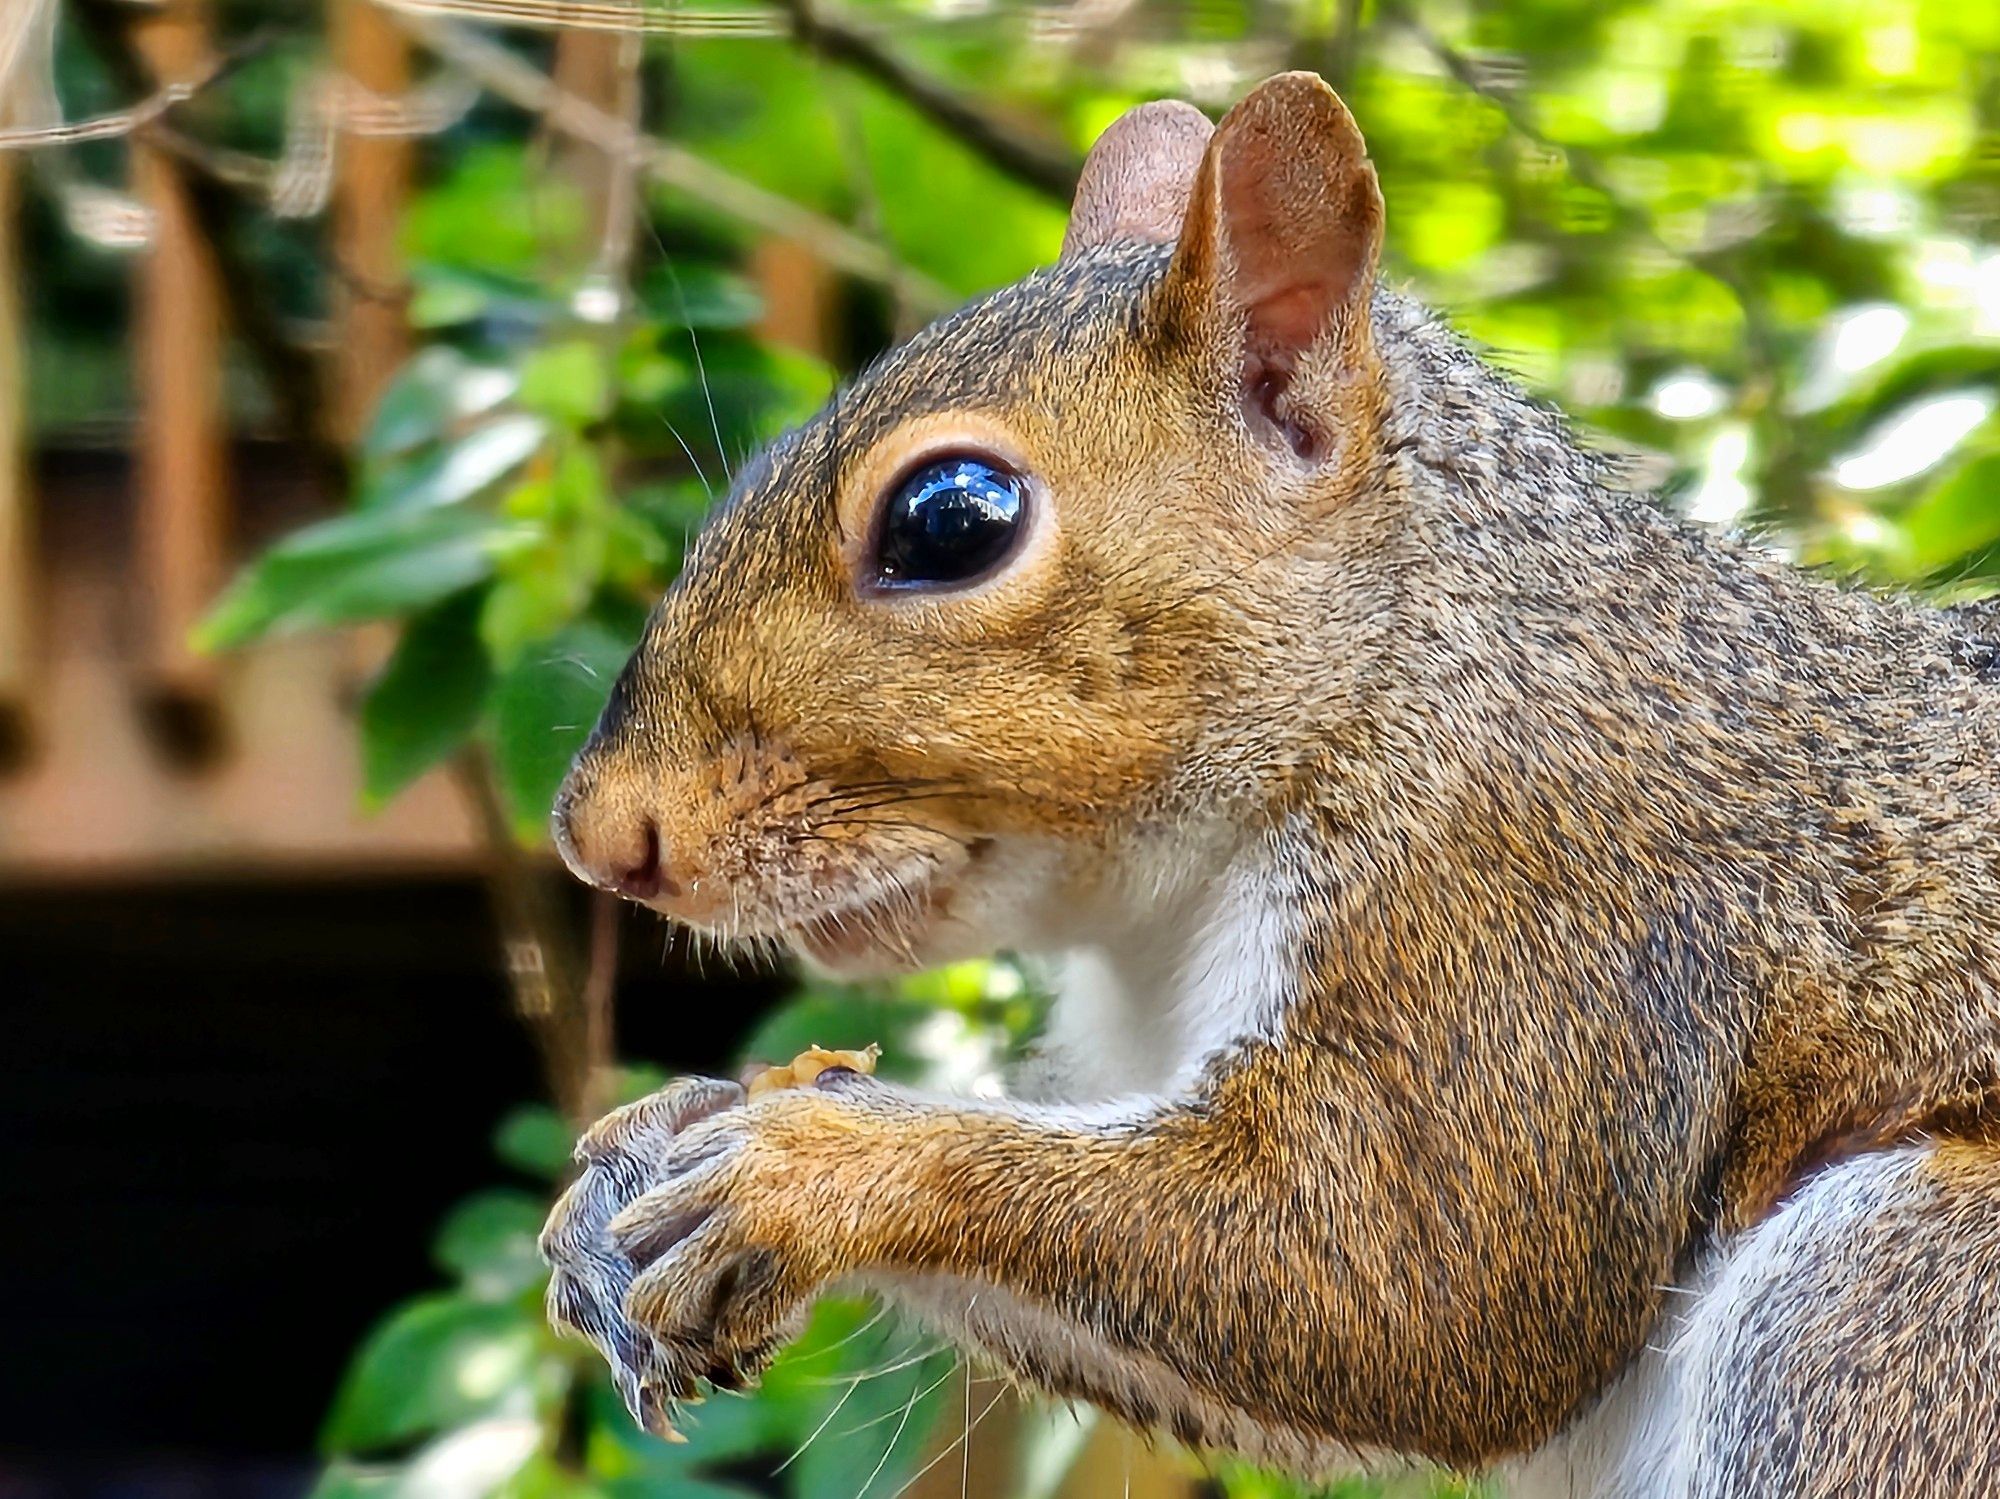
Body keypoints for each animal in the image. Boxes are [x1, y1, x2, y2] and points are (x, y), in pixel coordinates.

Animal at [540, 73, 2000, 1499]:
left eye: (951, 518)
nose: (603, 836)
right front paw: (640, 1158)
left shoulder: (1533, 904)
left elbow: (1414, 1283)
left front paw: (813, 1163)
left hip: (1890, 1302)